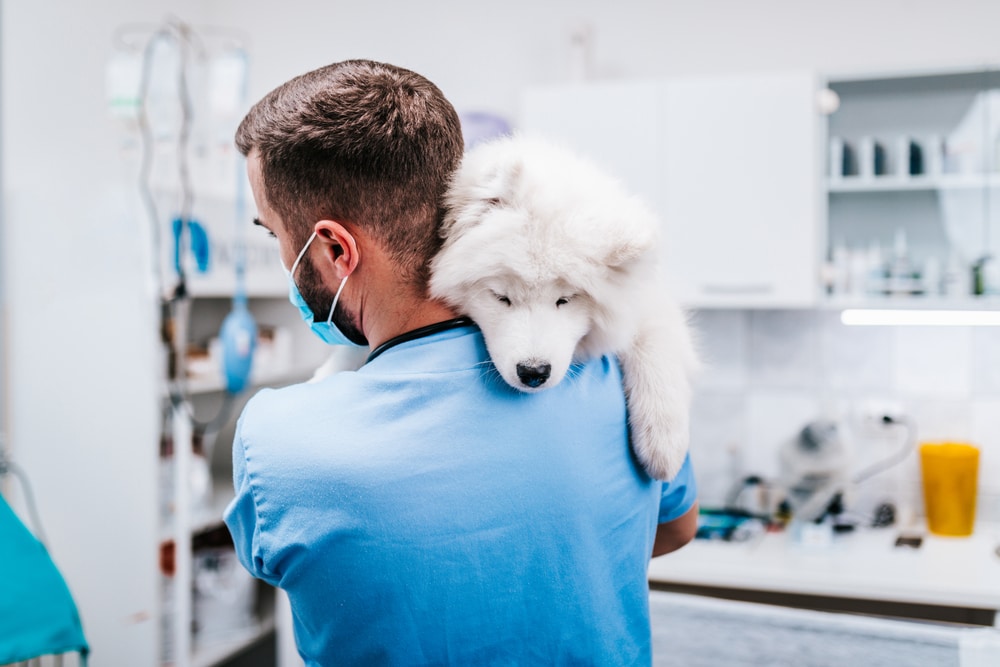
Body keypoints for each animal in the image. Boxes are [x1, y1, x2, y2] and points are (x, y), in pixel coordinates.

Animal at [428, 134, 696, 480]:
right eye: (501, 296)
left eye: (565, 300)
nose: (533, 372)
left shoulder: (644, 298)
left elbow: (655, 337)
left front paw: (663, 443)